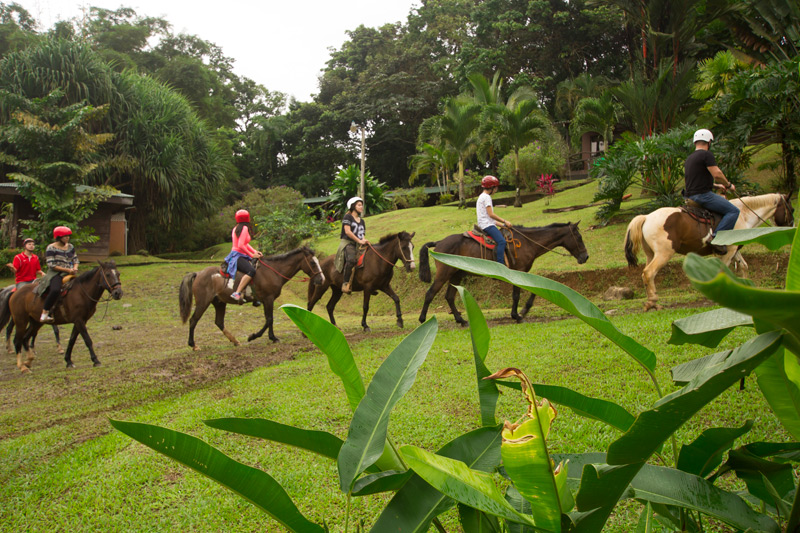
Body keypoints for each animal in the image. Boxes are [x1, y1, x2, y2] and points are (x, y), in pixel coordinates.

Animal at [180, 245, 324, 350]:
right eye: (312, 262)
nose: (321, 279)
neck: (273, 271)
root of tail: (198, 273)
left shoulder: (267, 300)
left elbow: (269, 319)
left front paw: (271, 337)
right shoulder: (268, 298)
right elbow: (269, 319)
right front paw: (255, 336)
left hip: (219, 302)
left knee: (219, 322)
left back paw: (235, 341)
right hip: (203, 302)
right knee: (193, 320)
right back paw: (193, 345)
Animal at [418, 220, 588, 324]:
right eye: (579, 237)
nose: (585, 257)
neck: (527, 242)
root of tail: (439, 242)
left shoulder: (523, 272)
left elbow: (536, 290)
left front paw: (523, 310)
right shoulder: (519, 271)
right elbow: (517, 295)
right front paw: (517, 315)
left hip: (456, 275)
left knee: (449, 297)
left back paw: (461, 320)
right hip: (443, 275)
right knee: (430, 293)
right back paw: (422, 319)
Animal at [624, 192, 792, 310]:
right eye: (792, 209)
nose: (791, 227)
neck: (743, 214)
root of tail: (646, 217)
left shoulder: (734, 249)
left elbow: (744, 266)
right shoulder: (729, 250)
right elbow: (721, 271)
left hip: (651, 254)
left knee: (646, 274)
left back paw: (650, 301)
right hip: (663, 254)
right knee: (649, 272)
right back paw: (653, 303)